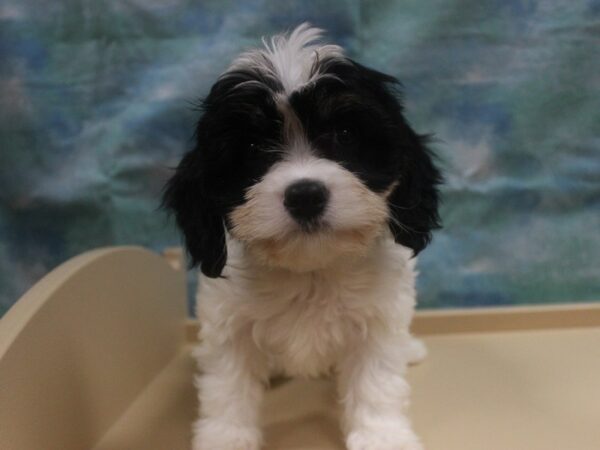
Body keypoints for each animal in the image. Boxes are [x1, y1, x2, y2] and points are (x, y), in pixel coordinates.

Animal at [163, 24, 440, 450]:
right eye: (252, 146)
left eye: (345, 134)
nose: (305, 195)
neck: (311, 269)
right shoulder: (229, 324)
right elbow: (227, 387)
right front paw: (226, 437)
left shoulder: (377, 320)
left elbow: (377, 382)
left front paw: (382, 435)